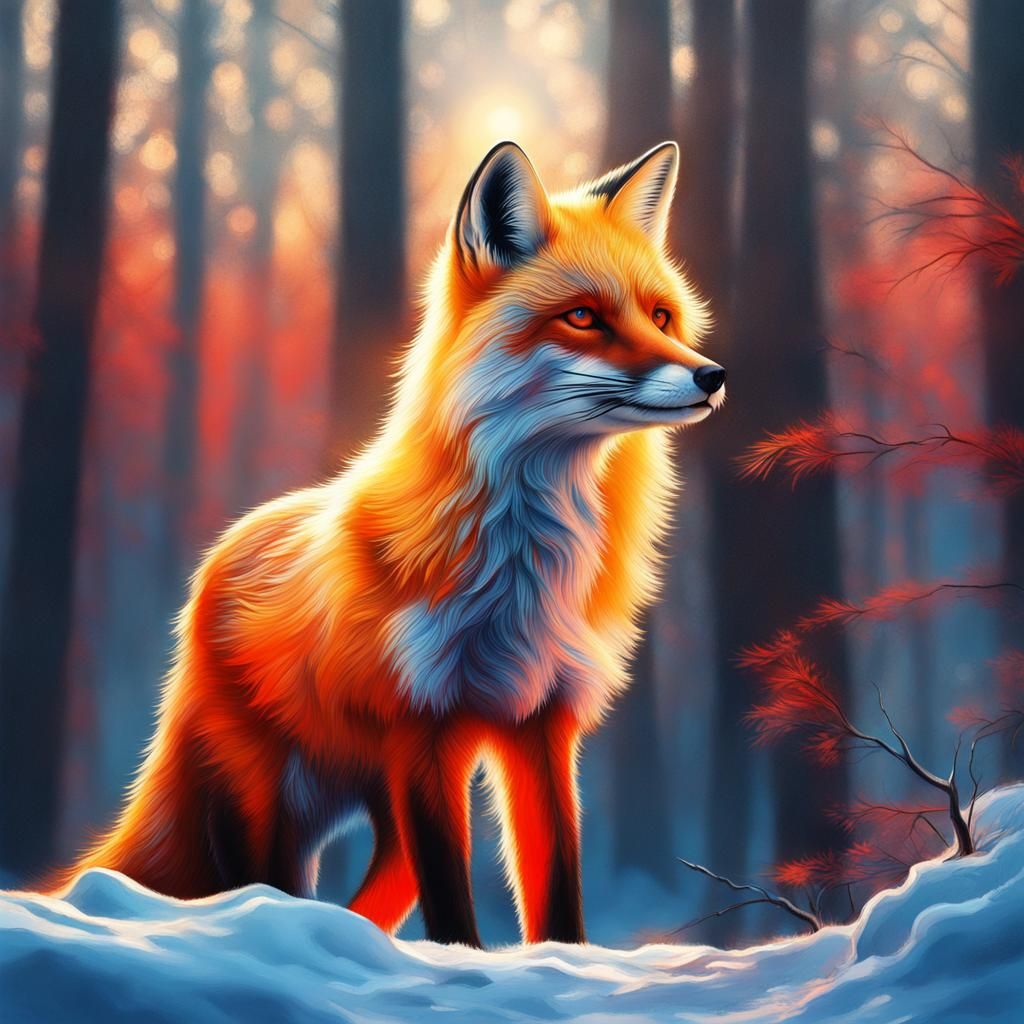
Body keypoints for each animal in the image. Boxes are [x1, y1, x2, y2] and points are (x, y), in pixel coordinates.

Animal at [53, 140, 725, 947]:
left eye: (661, 315)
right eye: (584, 317)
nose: (712, 375)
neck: (524, 566)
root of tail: (221, 552)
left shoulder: (542, 724)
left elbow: (558, 891)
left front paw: (561, 961)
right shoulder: (421, 731)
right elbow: (452, 905)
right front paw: (465, 963)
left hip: (377, 812)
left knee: (362, 904)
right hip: (266, 796)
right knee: (266, 886)